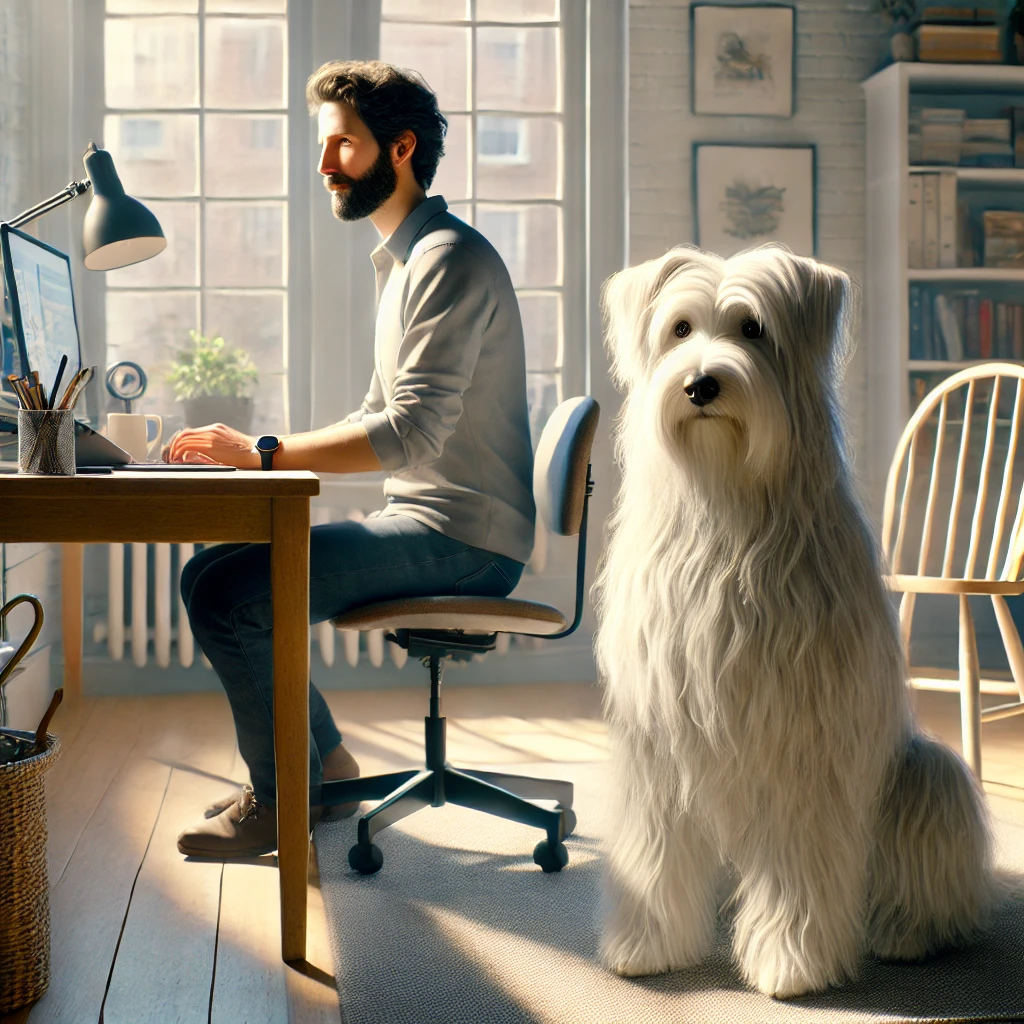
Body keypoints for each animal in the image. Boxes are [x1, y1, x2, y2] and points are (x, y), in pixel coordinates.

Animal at [593, 245, 999, 999]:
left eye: (753, 328)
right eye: (680, 329)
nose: (701, 385)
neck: (726, 507)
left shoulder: (804, 742)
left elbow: (800, 866)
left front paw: (792, 962)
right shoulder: (659, 740)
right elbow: (654, 852)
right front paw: (645, 946)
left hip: (924, 772)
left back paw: (906, 935)